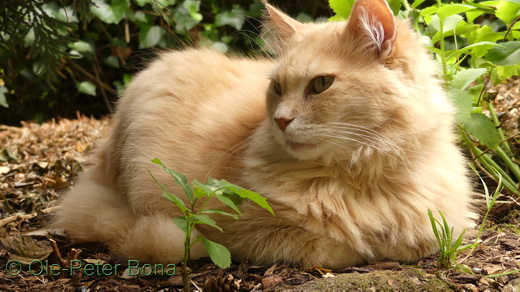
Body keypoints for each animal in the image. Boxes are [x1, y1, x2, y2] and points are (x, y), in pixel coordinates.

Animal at [53, 0, 476, 270]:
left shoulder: (444, 223)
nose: (281, 120)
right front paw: (365, 246)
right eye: (277, 88)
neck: (361, 174)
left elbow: (419, 239)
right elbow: (336, 245)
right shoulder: (234, 229)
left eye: (320, 85)